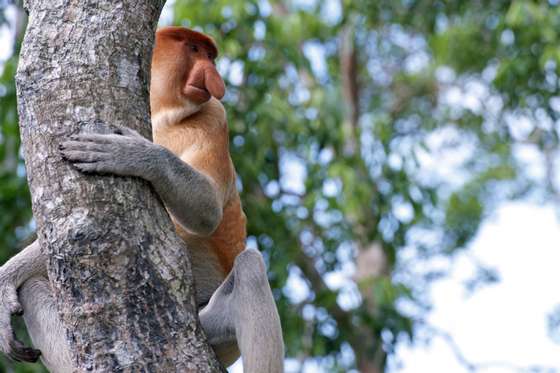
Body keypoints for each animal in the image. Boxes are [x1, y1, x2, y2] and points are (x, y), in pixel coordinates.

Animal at [0, 26, 284, 372]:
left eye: (210, 55)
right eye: (194, 50)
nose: (214, 75)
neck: (164, 115)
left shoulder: (215, 116)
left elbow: (208, 211)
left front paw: (129, 153)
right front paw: (6, 280)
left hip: (213, 330)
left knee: (249, 267)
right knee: (30, 289)